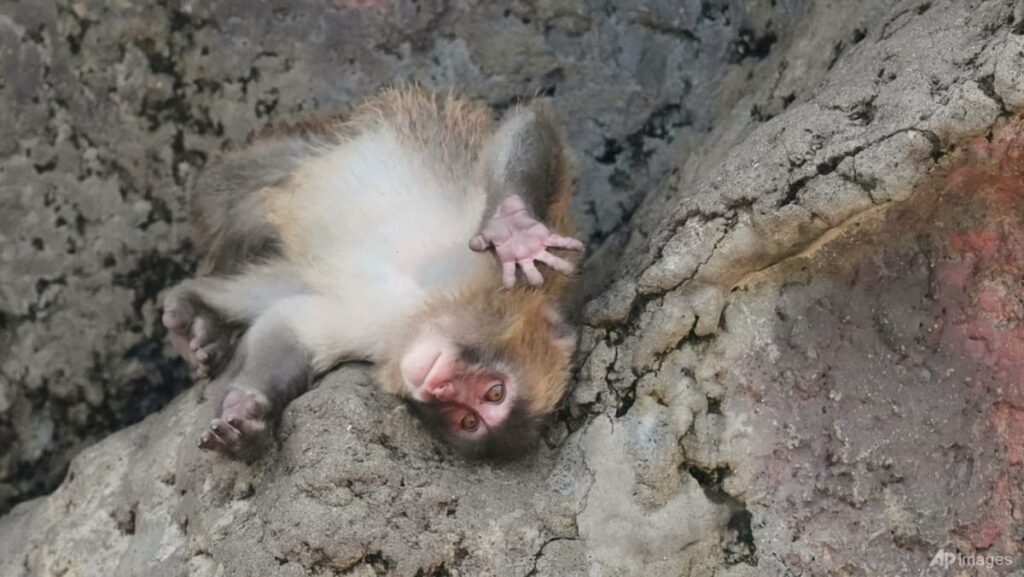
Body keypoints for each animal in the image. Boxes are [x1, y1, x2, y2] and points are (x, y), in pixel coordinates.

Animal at [160, 88, 583, 459]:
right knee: (228, 195)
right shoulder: (506, 276)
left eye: (468, 419)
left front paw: (248, 414)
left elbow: (290, 327)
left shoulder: (376, 341)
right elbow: (528, 124)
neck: (427, 306)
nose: (440, 388)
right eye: (495, 392)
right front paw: (514, 230)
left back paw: (199, 315)